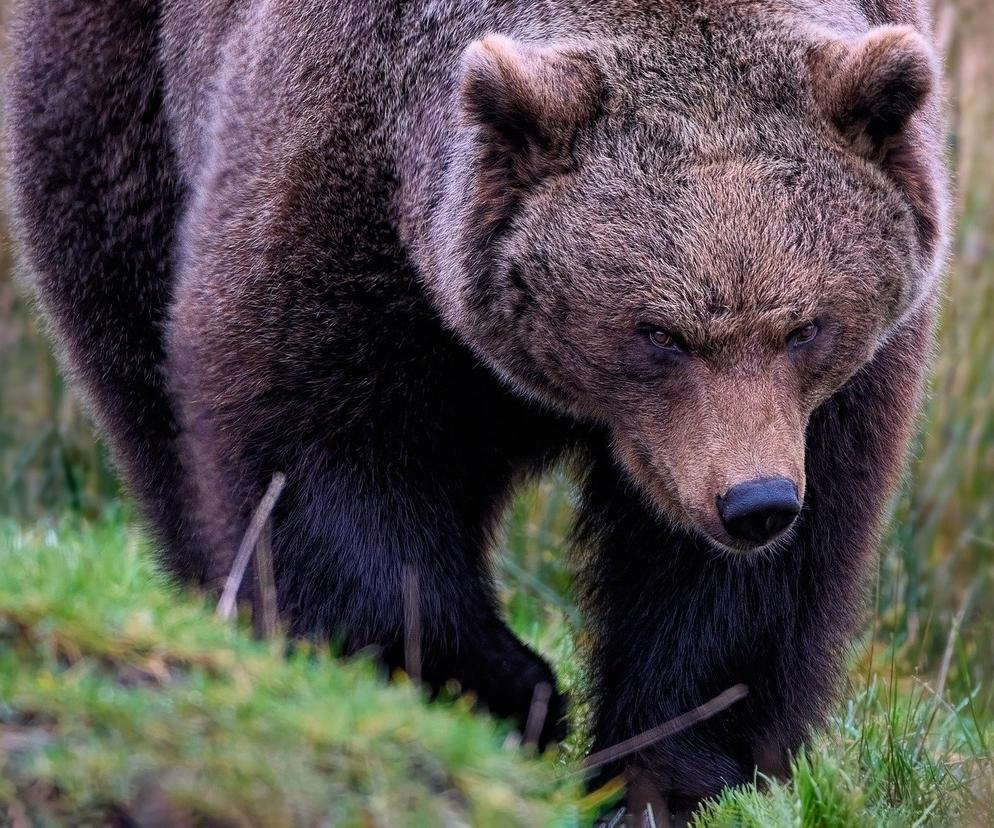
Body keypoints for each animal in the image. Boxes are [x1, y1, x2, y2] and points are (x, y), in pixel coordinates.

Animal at [5, 0, 944, 820]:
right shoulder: (343, 195)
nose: (754, 503)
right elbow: (317, 456)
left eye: (806, 326)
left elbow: (743, 590)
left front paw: (667, 775)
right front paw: (507, 692)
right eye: (658, 334)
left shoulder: (826, 402)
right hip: (120, 102)